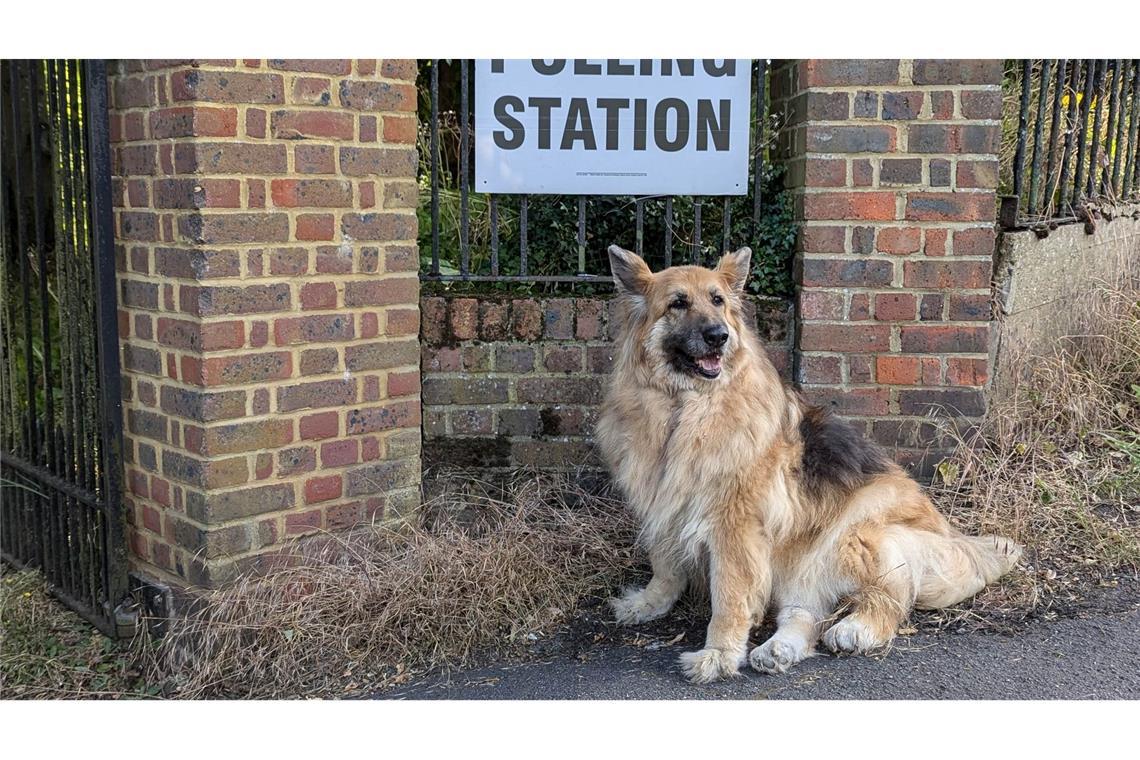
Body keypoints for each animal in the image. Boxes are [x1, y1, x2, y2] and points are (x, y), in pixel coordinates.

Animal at [592, 244, 1021, 683]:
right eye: (678, 303)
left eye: (718, 301)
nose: (719, 336)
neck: (683, 409)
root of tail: (954, 538)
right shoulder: (664, 503)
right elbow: (665, 565)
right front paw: (650, 602)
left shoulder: (735, 528)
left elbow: (729, 599)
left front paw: (719, 653)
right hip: (804, 564)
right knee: (804, 615)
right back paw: (777, 649)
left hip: (852, 534)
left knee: (890, 597)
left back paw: (857, 628)